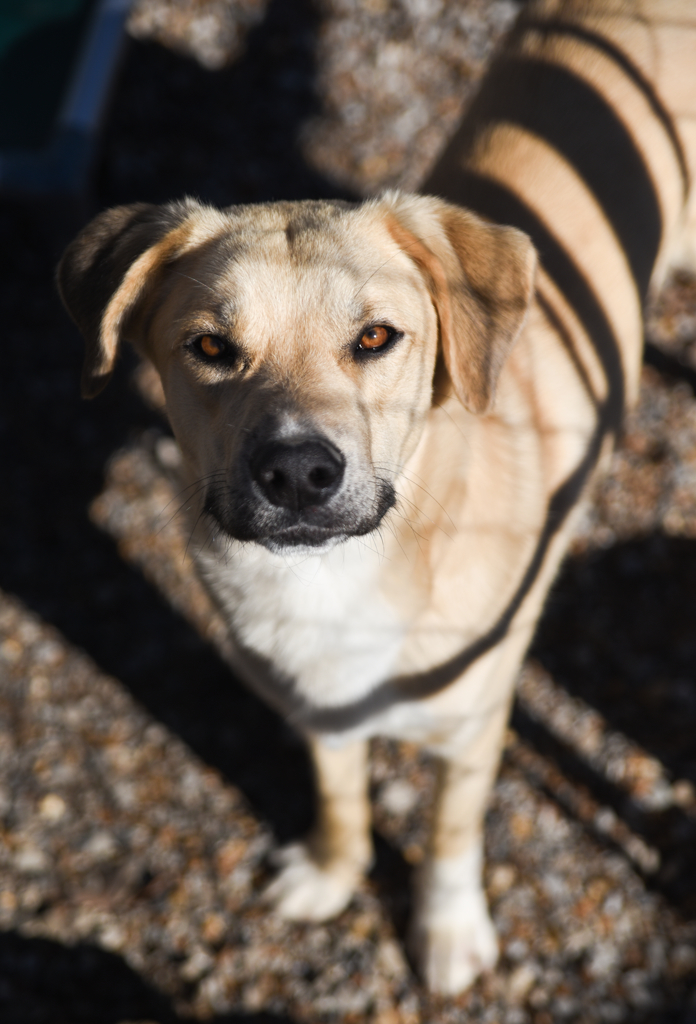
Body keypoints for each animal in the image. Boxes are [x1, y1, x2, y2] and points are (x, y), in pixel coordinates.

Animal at [58, 0, 696, 991]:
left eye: (375, 338)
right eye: (209, 347)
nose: (296, 473)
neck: (341, 576)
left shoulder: (475, 725)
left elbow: (450, 831)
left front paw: (447, 929)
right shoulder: (318, 706)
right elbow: (340, 793)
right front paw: (332, 871)